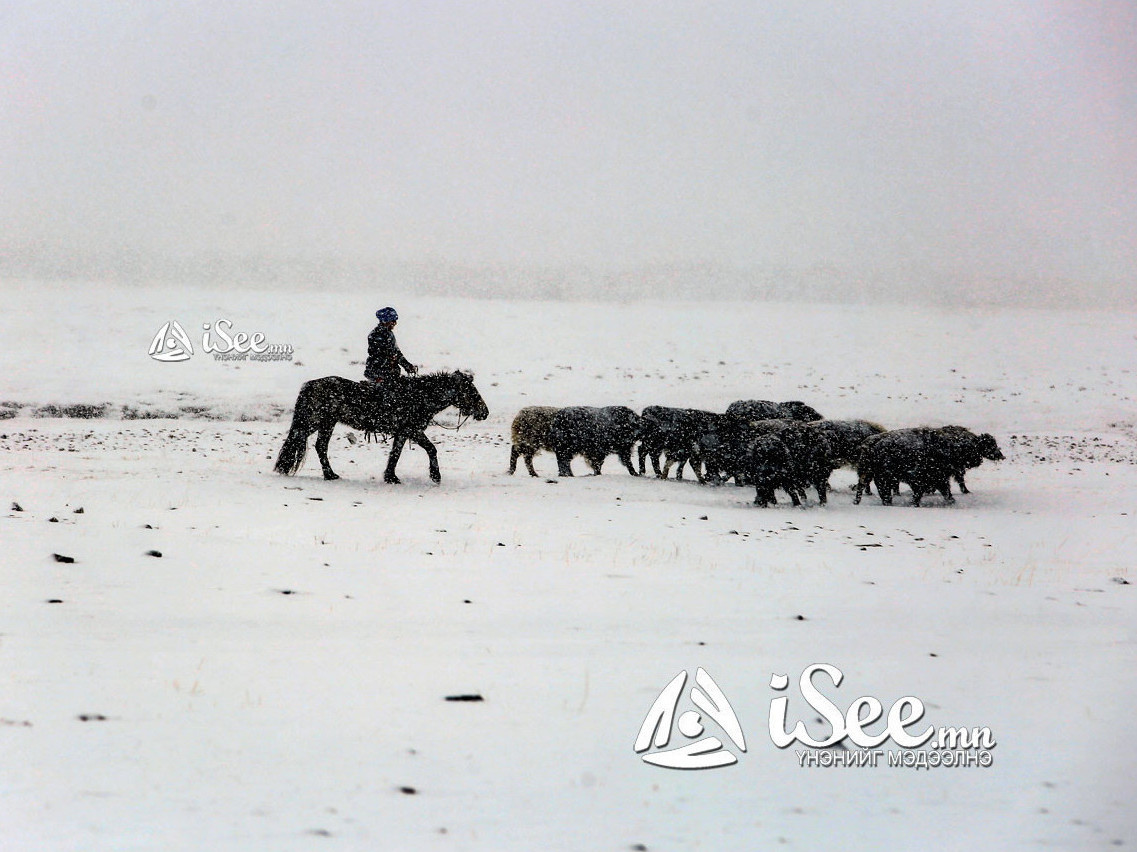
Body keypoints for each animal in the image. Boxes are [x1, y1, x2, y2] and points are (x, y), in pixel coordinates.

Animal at [278, 368, 488, 482]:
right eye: (470, 391)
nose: (484, 412)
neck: (419, 396)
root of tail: (311, 384)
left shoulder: (403, 432)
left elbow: (396, 453)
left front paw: (390, 477)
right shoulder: (412, 429)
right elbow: (431, 449)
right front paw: (435, 476)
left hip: (327, 423)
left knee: (319, 446)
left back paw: (329, 474)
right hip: (314, 422)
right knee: (302, 440)